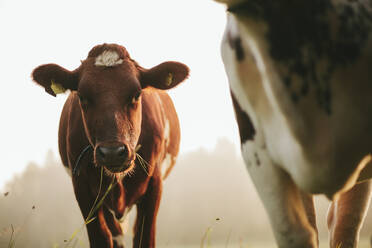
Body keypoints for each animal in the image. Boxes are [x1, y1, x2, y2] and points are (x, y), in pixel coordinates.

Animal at [31, 43, 189, 247]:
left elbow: (144, 237)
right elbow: (101, 236)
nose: (113, 152)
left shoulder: (155, 182)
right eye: (82, 96)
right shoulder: (82, 186)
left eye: (136, 94)